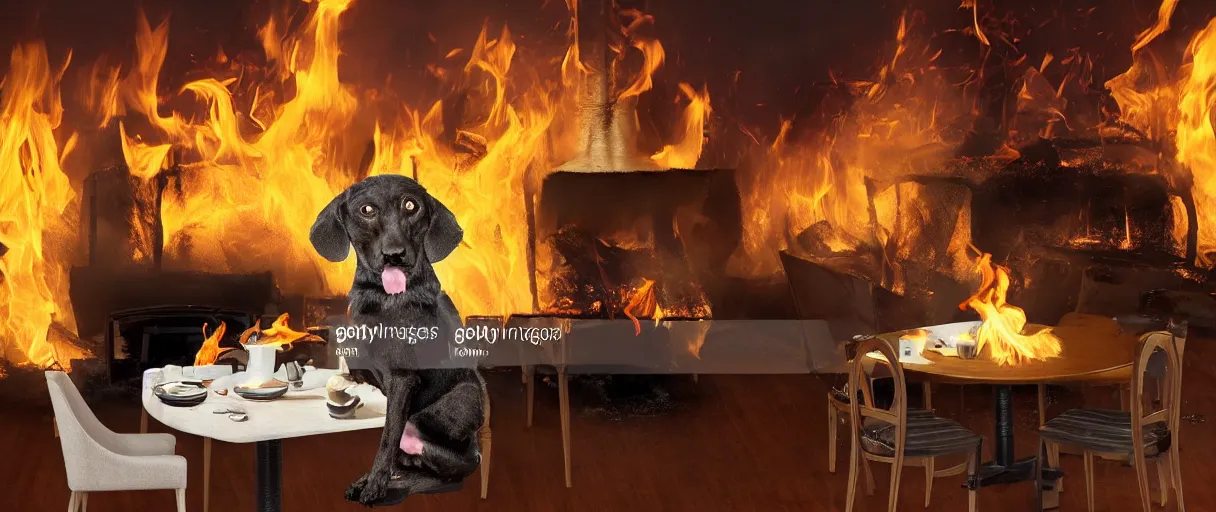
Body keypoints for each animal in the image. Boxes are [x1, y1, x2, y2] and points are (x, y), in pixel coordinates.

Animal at [308, 173, 483, 505]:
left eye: (411, 205)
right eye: (366, 209)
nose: (395, 255)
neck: (382, 299)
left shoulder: (403, 378)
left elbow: (387, 437)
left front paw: (375, 485)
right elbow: (385, 430)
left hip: (458, 401)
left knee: (437, 465)